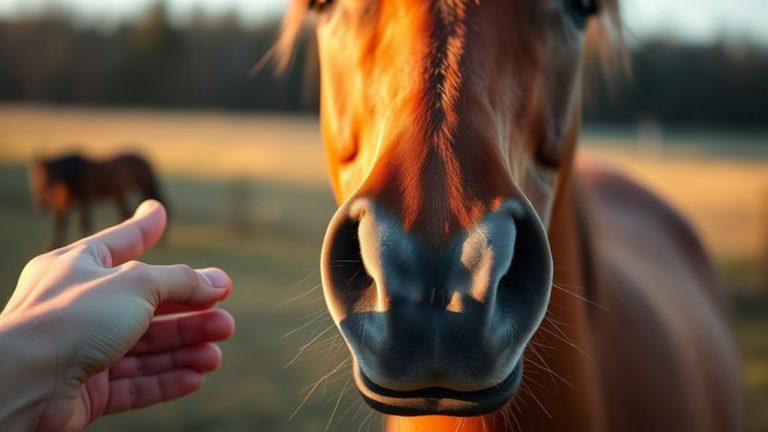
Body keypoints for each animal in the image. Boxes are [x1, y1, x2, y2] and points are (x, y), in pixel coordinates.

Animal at [29, 152, 165, 250]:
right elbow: (61, 222)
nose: (42, 204)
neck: (73, 173)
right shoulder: (66, 201)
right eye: (35, 176)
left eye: (50, 176)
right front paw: (53, 245)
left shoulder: (84, 199)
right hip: (122, 193)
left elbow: (83, 222)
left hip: (139, 187)